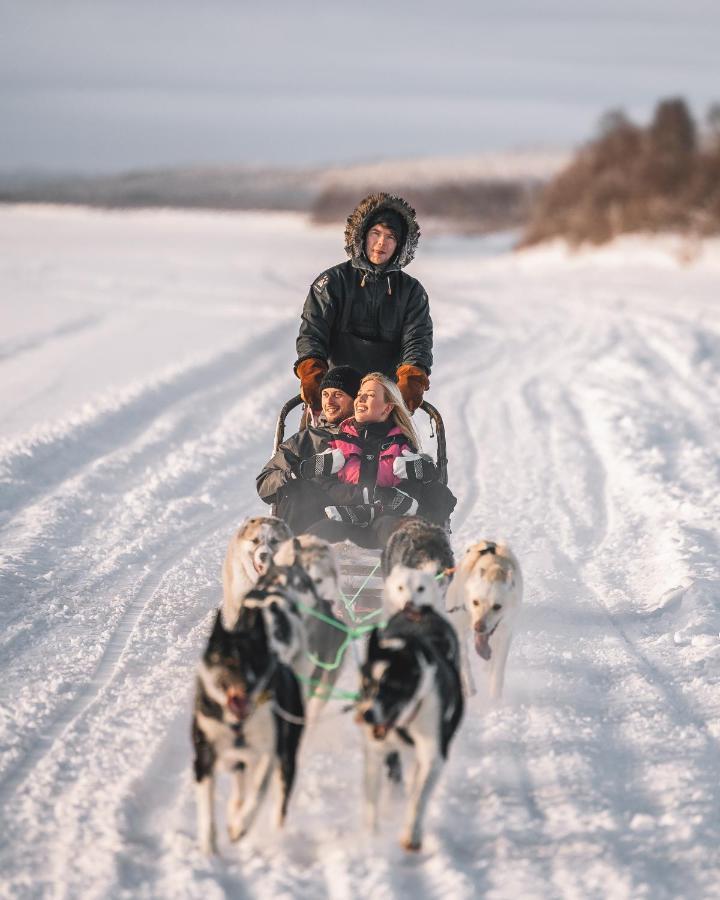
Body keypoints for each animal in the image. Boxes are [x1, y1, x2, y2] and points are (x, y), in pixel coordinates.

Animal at [191, 604, 304, 852]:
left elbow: (257, 794)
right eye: (229, 660)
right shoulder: (204, 755)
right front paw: (207, 849)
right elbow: (206, 809)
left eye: (255, 660)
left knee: (278, 803)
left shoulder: (268, 755)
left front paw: (240, 825)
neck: (237, 725)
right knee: (239, 788)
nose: (247, 685)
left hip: (287, 758)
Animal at [358, 620, 464, 852]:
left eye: (392, 687)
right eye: (367, 685)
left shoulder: (433, 755)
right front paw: (371, 837)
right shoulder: (375, 751)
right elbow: (371, 800)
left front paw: (412, 835)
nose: (366, 715)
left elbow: (418, 799)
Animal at [444, 536, 524, 700]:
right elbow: (464, 661)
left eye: (497, 606)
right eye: (475, 602)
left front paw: (495, 696)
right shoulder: (460, 630)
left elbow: (498, 668)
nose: (479, 627)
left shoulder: (505, 633)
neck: (494, 569)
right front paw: (469, 687)